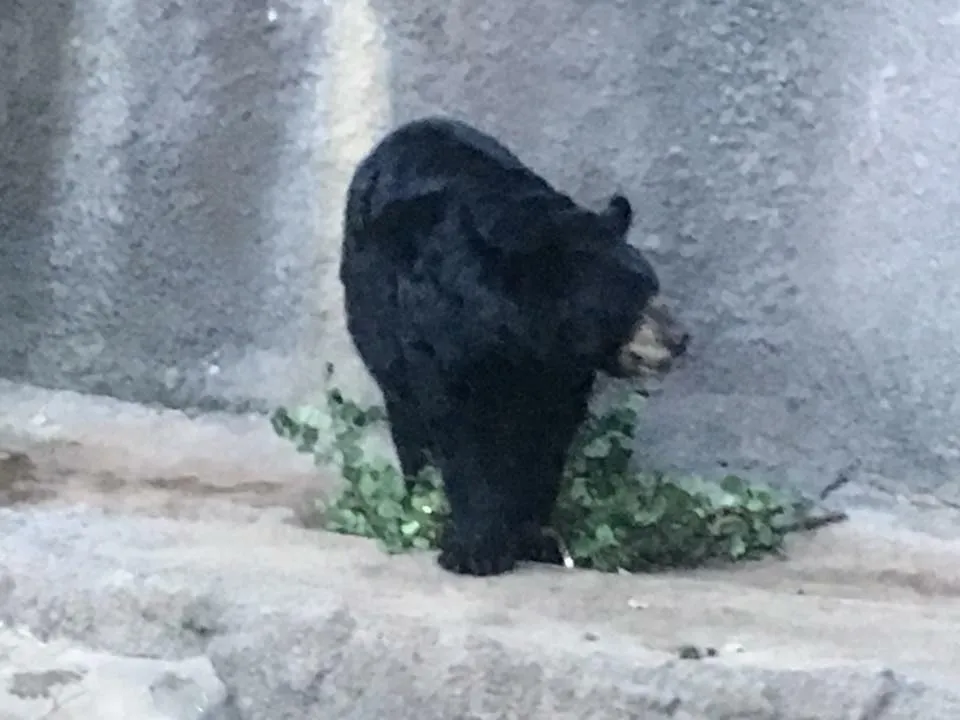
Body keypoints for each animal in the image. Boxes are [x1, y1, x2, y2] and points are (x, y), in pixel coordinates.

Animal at [342, 118, 688, 580]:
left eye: (652, 286)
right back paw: (418, 498)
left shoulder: (560, 370)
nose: (679, 338)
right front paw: (476, 549)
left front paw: (532, 536)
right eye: (631, 299)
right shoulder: (440, 336)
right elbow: (460, 432)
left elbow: (547, 438)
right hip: (373, 316)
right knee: (405, 413)